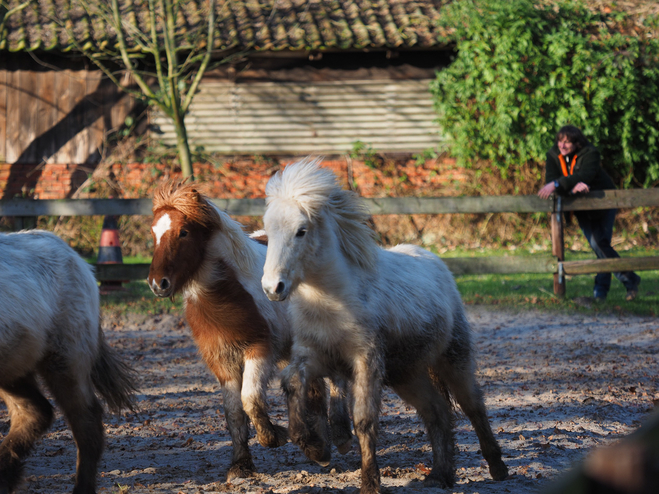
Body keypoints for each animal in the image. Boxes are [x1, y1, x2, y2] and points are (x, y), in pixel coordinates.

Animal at [147, 181, 354, 478]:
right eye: (153, 232)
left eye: (183, 232)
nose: (157, 283)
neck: (228, 293)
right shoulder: (221, 360)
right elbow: (234, 412)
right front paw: (241, 464)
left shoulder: (259, 350)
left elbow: (251, 399)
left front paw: (275, 436)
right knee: (315, 388)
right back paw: (319, 448)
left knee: (336, 381)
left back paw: (339, 437)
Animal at [262, 160, 510, 492]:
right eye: (268, 231)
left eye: (301, 231)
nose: (272, 287)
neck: (332, 300)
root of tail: (436, 262)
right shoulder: (316, 356)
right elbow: (290, 381)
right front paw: (311, 446)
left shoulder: (365, 360)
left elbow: (364, 419)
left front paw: (370, 482)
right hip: (407, 374)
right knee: (437, 411)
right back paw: (440, 475)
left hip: (453, 360)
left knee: (473, 406)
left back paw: (498, 468)